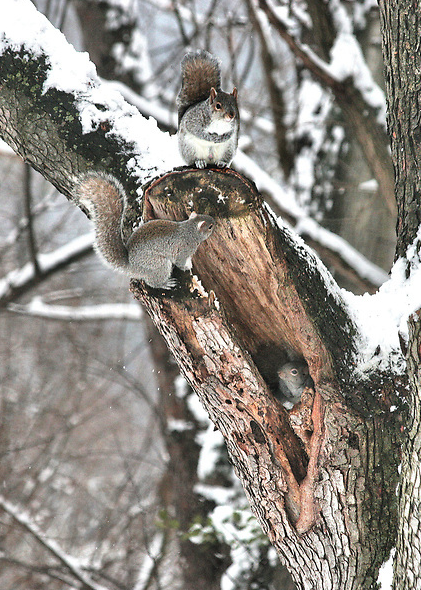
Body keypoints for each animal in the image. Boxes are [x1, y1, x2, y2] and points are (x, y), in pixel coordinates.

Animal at [72, 172, 215, 290]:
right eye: (210, 226)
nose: (215, 222)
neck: (190, 230)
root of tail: (131, 265)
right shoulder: (184, 249)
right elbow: (180, 262)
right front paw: (187, 267)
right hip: (159, 265)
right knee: (152, 282)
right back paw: (165, 284)